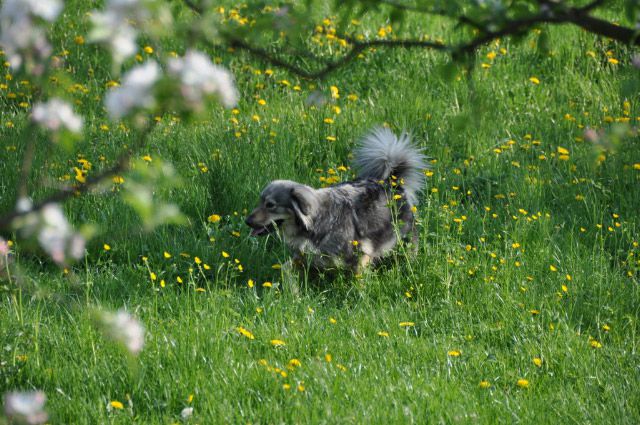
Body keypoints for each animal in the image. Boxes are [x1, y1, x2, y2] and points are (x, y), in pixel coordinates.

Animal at [248, 126, 428, 272]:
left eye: (270, 205)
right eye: (260, 202)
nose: (246, 221)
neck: (317, 220)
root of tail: (393, 182)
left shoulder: (362, 256)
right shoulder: (303, 258)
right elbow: (285, 270)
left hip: (403, 239)